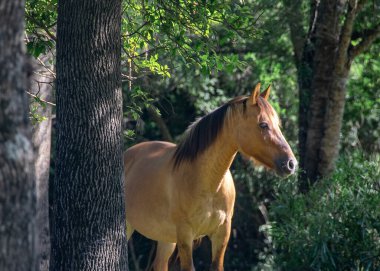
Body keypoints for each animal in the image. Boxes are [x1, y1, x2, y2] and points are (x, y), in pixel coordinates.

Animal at [124, 83, 296, 271]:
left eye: (277, 124)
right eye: (263, 125)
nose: (291, 163)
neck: (208, 183)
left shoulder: (222, 233)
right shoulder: (185, 236)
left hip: (166, 240)